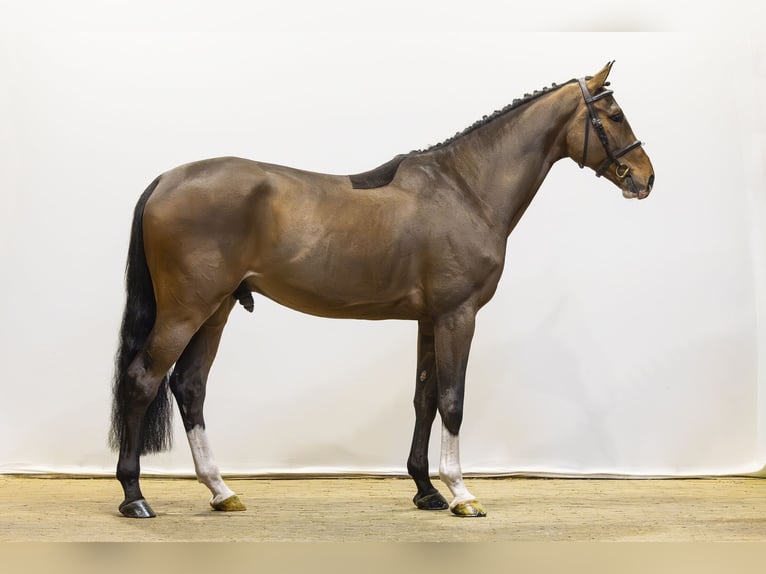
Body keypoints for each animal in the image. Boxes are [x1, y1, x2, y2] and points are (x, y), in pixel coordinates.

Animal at [109, 61, 654, 519]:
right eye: (615, 114)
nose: (645, 178)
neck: (465, 188)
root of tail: (166, 180)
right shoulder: (458, 315)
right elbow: (453, 400)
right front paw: (461, 494)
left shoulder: (430, 319)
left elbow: (425, 399)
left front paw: (426, 490)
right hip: (186, 310)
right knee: (142, 380)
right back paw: (135, 496)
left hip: (217, 309)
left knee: (190, 386)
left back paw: (221, 491)